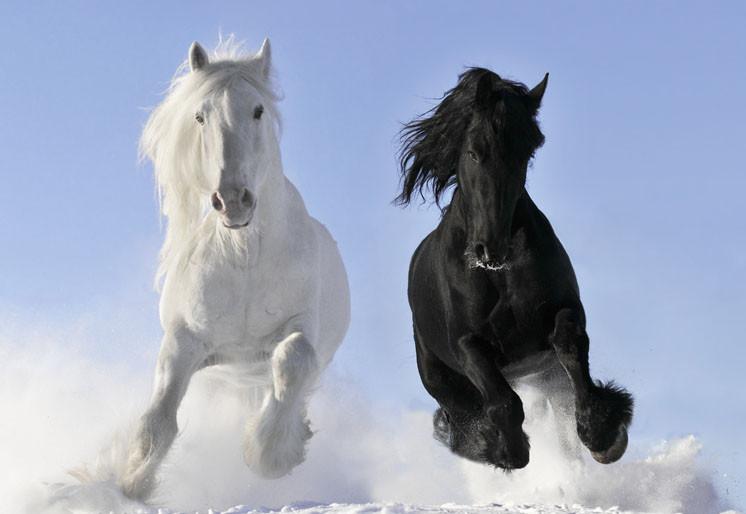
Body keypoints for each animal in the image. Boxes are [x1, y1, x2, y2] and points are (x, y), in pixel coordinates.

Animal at [119, 38, 350, 500]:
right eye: (199, 115)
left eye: (258, 110)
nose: (232, 200)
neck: (244, 257)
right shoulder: (184, 341)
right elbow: (158, 420)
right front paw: (131, 483)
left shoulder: (301, 327)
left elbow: (293, 359)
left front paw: (269, 455)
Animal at [396, 68, 633, 470]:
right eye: (474, 151)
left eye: (526, 153)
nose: (490, 248)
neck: (498, 274)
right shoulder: (468, 344)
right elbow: (503, 402)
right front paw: (507, 450)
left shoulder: (563, 312)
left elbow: (571, 347)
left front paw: (603, 434)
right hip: (442, 379)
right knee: (464, 415)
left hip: (545, 376)